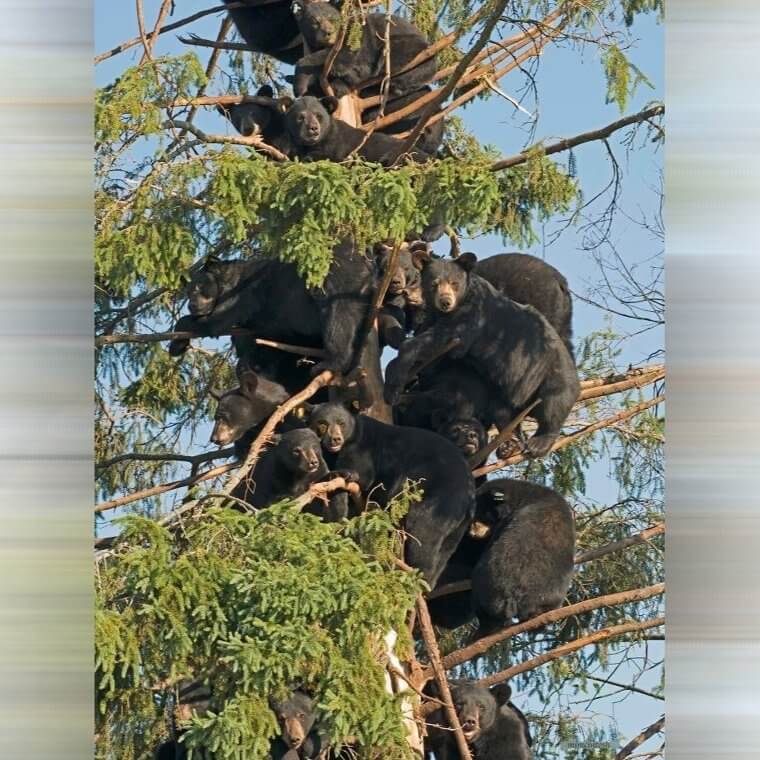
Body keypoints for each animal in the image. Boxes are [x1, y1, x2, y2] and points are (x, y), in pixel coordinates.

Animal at [284, 96, 432, 165]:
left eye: (318, 115)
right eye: (300, 117)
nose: (313, 128)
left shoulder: (338, 145)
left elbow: (334, 158)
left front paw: (309, 158)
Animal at [291, 4, 436, 99]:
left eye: (333, 19)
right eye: (315, 22)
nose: (328, 32)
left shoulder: (358, 36)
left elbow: (345, 56)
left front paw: (300, 84)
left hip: (407, 47)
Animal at [308, 401, 475, 586]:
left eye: (341, 423)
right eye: (322, 424)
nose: (335, 439)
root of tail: (469, 493)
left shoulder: (362, 449)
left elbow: (362, 474)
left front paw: (343, 473)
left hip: (439, 499)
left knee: (424, 534)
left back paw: (417, 574)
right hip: (459, 525)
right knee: (445, 551)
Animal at [384, 252, 580, 459]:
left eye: (454, 283)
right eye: (434, 283)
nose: (445, 301)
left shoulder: (472, 317)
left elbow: (443, 340)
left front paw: (394, 383)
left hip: (548, 369)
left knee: (555, 401)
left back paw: (539, 442)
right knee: (503, 414)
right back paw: (510, 444)